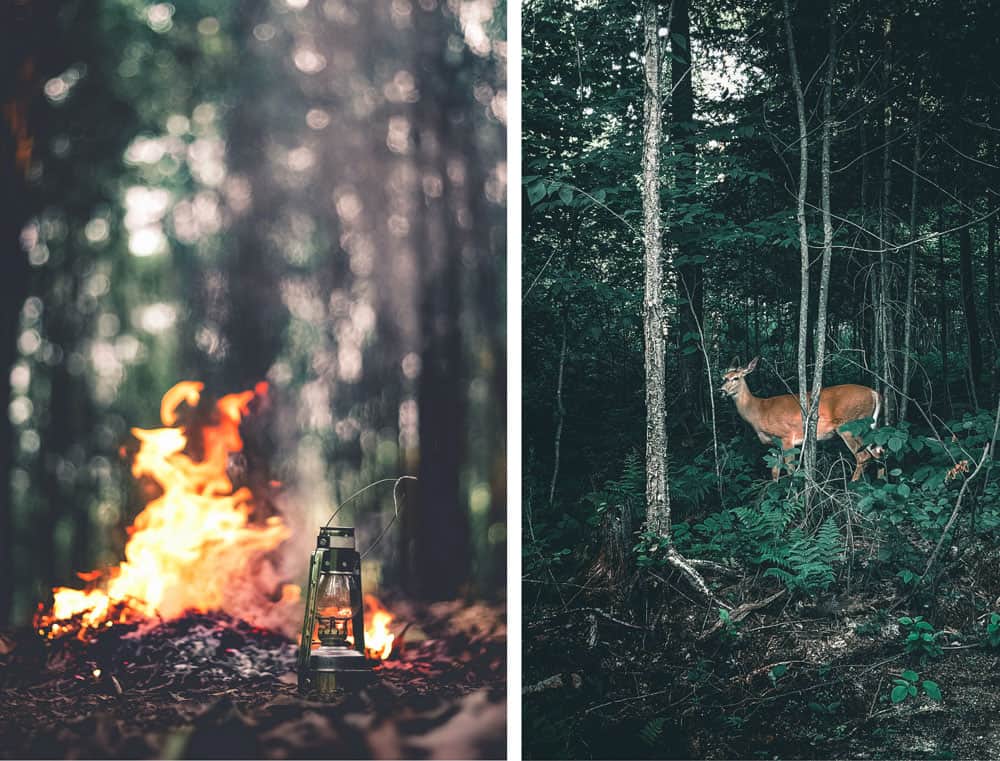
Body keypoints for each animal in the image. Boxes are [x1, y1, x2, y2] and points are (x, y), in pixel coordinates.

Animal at [720, 358, 884, 478]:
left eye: (736, 378)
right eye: (723, 378)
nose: (721, 391)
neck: (759, 410)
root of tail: (874, 393)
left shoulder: (786, 437)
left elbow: (791, 470)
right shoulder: (773, 444)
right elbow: (774, 471)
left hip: (850, 425)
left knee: (863, 456)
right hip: (869, 426)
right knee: (879, 452)